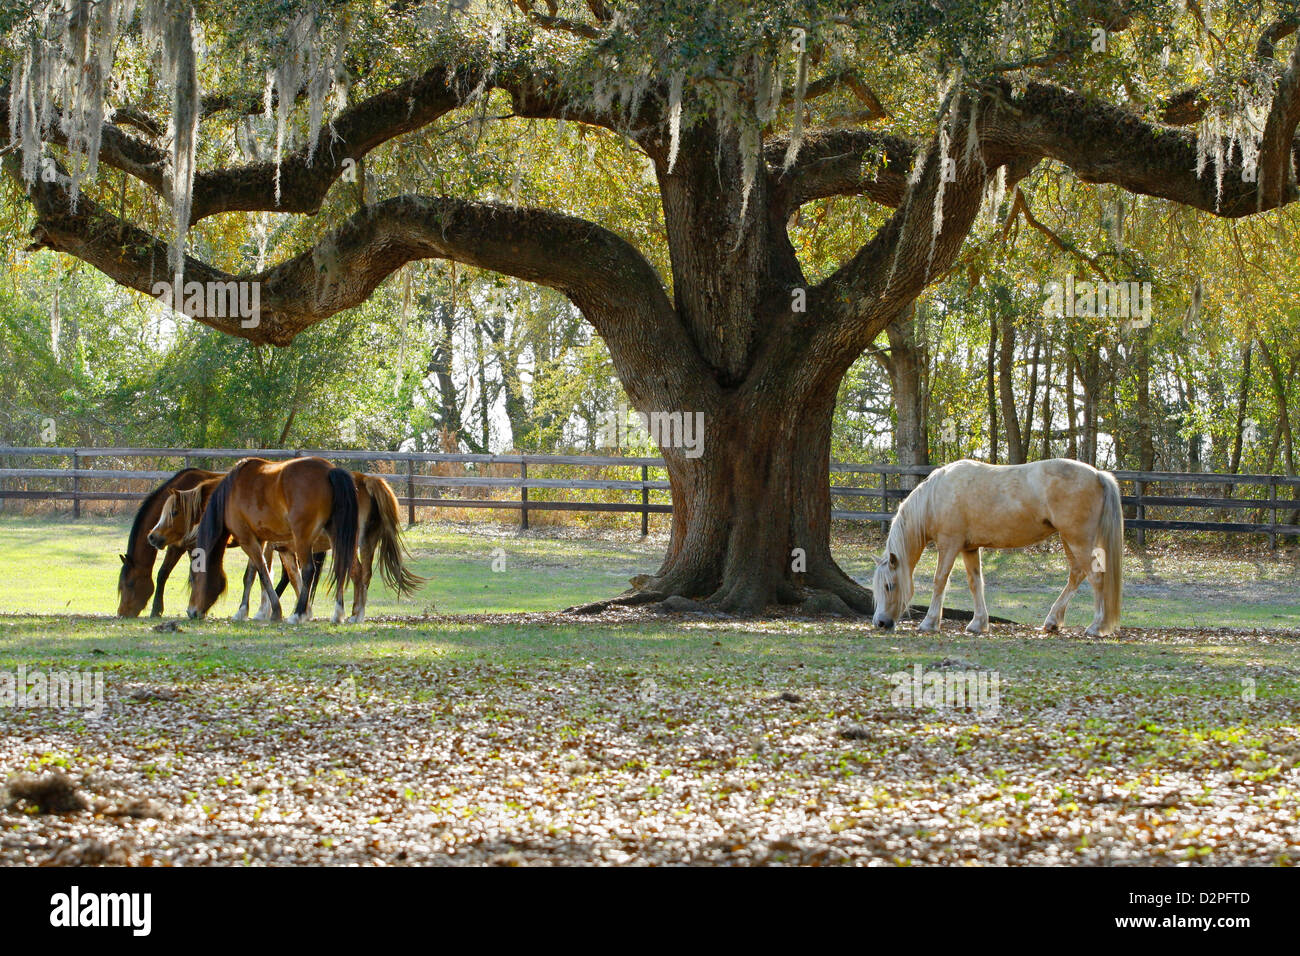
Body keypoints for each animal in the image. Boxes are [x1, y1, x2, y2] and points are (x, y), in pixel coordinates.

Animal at [189, 457, 358, 624]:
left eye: (193, 579)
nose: (190, 611)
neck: (230, 493)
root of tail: (330, 470)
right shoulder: (259, 539)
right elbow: (250, 575)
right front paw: (242, 611)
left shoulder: (246, 540)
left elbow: (263, 573)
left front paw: (275, 611)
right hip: (335, 535)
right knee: (341, 567)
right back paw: (338, 614)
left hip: (302, 539)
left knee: (308, 570)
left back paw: (298, 614)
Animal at [878, 463, 1123, 639]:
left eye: (889, 586)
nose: (880, 622)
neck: (936, 496)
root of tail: (1098, 474)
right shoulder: (969, 548)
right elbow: (975, 583)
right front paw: (978, 623)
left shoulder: (949, 545)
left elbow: (940, 581)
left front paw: (929, 623)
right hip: (1068, 539)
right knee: (1077, 575)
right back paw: (1053, 621)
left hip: (1078, 540)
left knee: (1096, 578)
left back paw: (1096, 627)